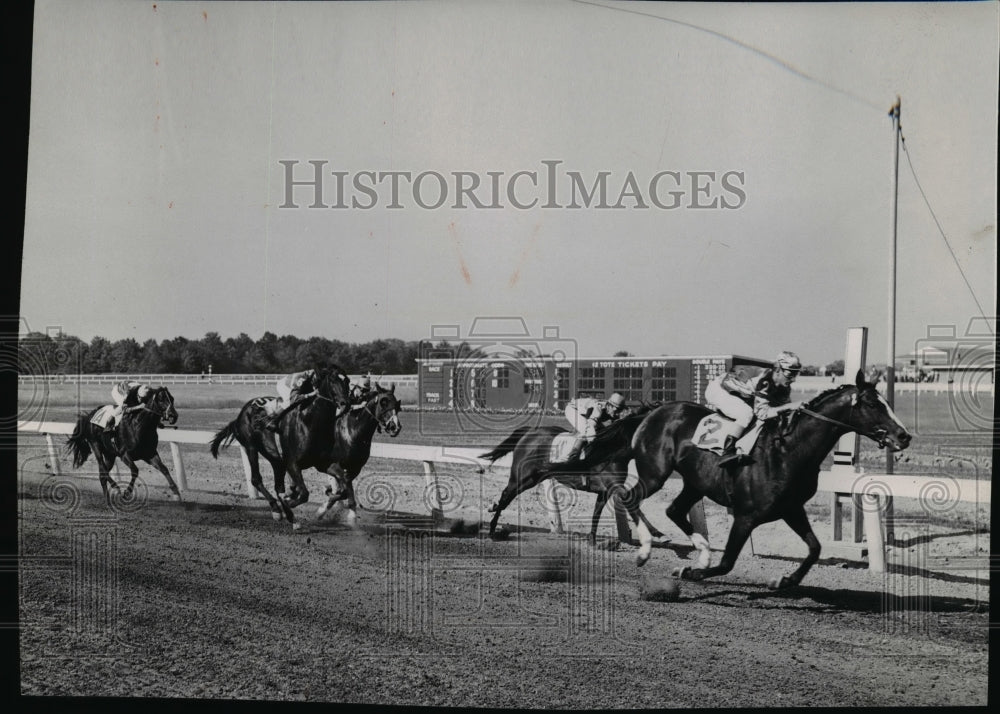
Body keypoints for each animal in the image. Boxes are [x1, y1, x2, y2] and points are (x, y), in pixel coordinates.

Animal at [209, 364, 354, 524]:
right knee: (256, 479)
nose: (346, 404)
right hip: (252, 447)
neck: (310, 421)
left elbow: (343, 488)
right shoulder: (292, 463)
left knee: (278, 483)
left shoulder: (322, 463)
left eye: (347, 381)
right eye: (333, 380)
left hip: (274, 456)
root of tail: (241, 414)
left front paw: (325, 503)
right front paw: (290, 505)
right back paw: (277, 509)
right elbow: (304, 494)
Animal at [480, 400, 668, 540]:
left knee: (507, 496)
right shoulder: (614, 486)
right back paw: (492, 526)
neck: (613, 450)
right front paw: (658, 533)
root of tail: (529, 432)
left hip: (532, 478)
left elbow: (597, 513)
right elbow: (632, 502)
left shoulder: (605, 490)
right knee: (506, 495)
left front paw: (592, 539)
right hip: (521, 476)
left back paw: (493, 512)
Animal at [536, 370, 912, 588]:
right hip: (655, 472)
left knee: (674, 510)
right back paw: (646, 551)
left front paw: (786, 580)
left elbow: (815, 548)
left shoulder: (791, 509)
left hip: (695, 481)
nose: (904, 436)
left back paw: (700, 552)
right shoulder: (746, 515)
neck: (788, 449)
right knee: (631, 497)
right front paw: (694, 572)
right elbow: (729, 562)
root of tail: (654, 411)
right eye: (873, 404)